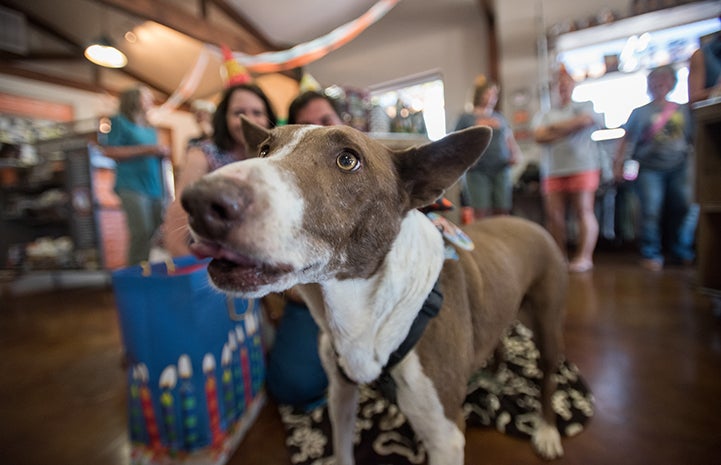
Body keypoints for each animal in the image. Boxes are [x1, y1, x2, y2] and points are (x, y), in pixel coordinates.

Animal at [180, 118, 568, 462]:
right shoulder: (339, 394)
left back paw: (547, 429)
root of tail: (527, 221)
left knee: (548, 377)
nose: (198, 201)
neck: (360, 311)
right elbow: (342, 449)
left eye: (348, 160)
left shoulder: (446, 437)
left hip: (548, 325)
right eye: (263, 149)